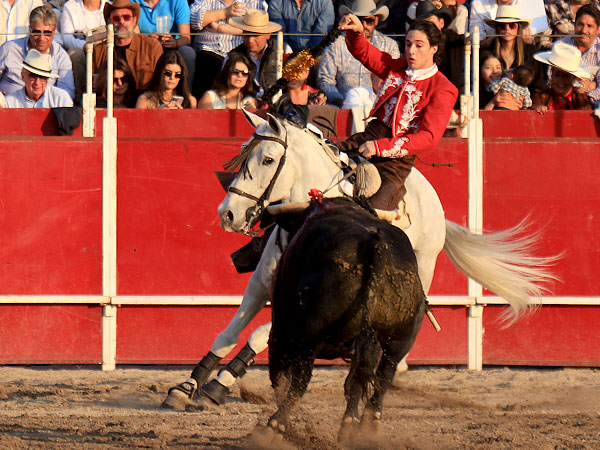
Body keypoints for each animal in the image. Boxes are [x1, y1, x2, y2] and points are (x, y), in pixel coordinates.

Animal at [162, 110, 556, 412]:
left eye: (269, 159)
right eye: (245, 154)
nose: (227, 214)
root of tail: (435, 204)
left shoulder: (298, 300)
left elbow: (260, 334)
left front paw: (219, 385)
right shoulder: (261, 281)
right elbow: (228, 332)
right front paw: (187, 386)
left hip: (423, 269)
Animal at [268, 199, 426, 442]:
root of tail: (375, 245)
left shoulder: (281, 330)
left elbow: (281, 378)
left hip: (308, 336)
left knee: (300, 381)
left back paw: (274, 425)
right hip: (401, 339)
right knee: (380, 378)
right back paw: (360, 427)